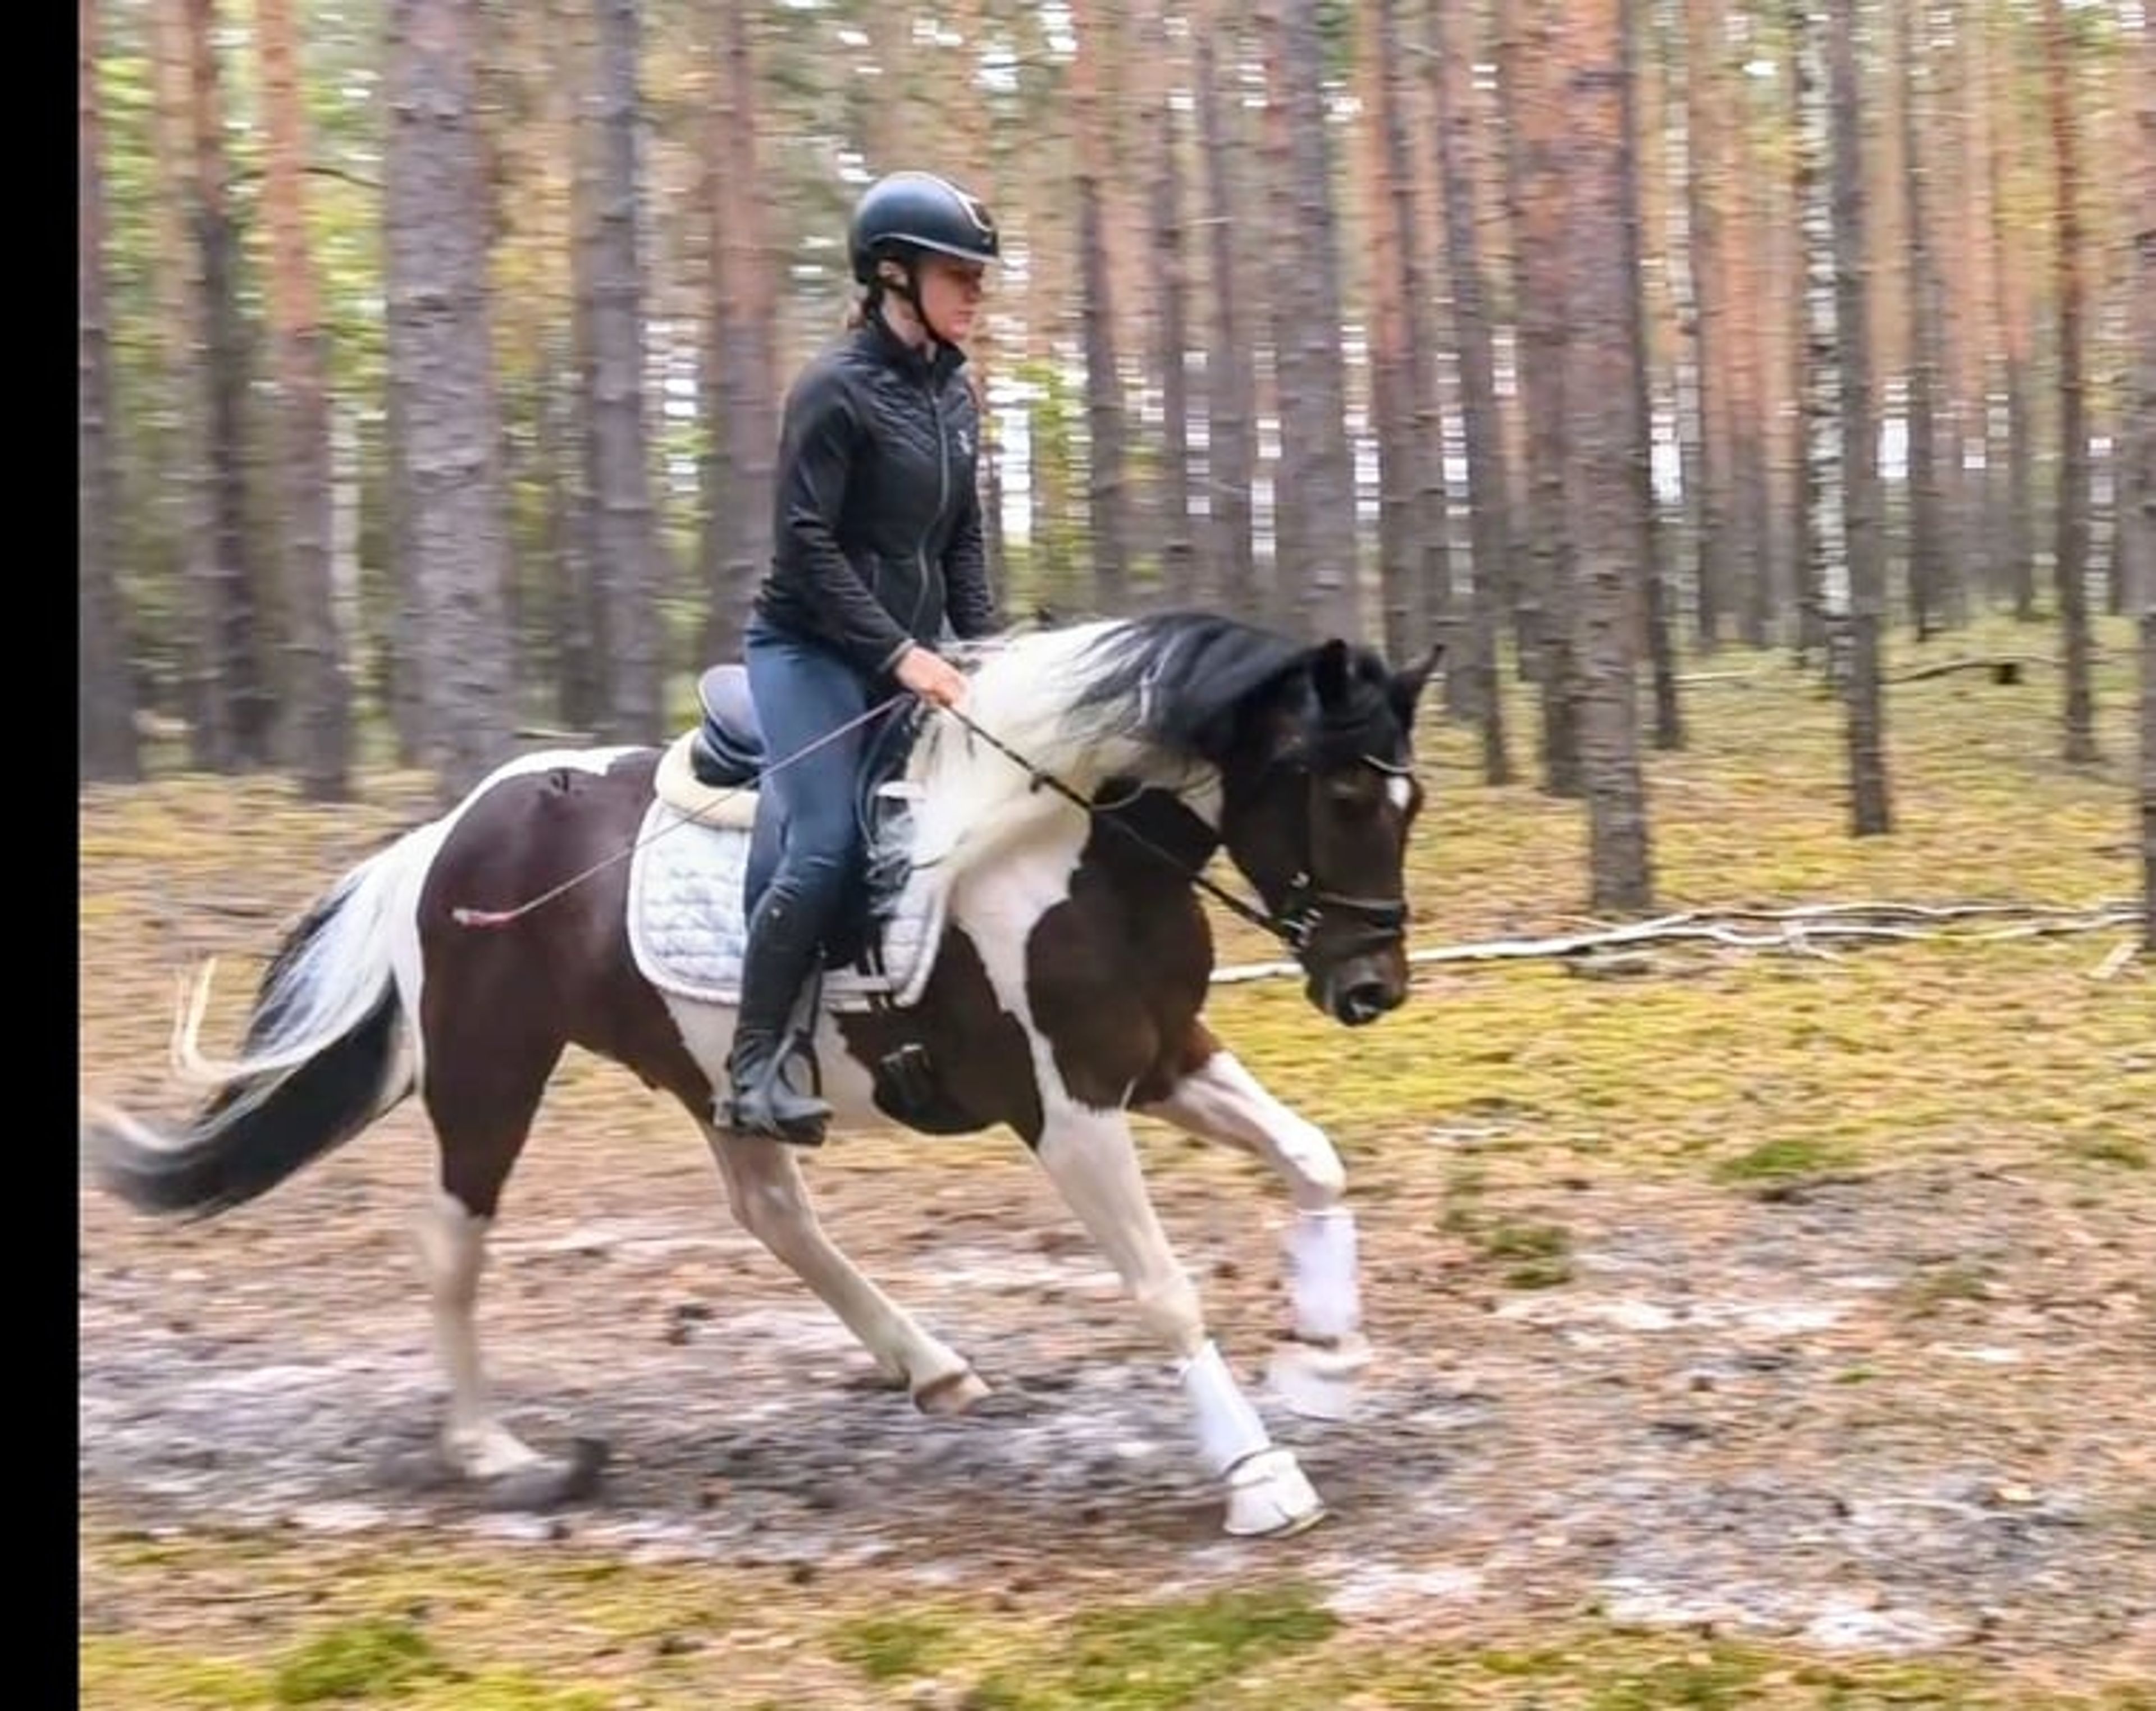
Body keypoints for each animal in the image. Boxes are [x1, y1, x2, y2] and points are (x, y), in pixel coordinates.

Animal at [84, 608, 1441, 1539]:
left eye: (1410, 801)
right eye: (1340, 792)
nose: (1372, 986)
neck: (1074, 850)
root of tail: (448, 834)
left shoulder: (1160, 1060)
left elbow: (1314, 1159)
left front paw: (1324, 1358)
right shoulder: (1063, 1109)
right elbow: (1162, 1289)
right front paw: (1261, 1475)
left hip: (711, 1071)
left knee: (770, 1210)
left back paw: (929, 1364)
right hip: (489, 1070)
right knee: (451, 1241)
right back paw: (493, 1453)